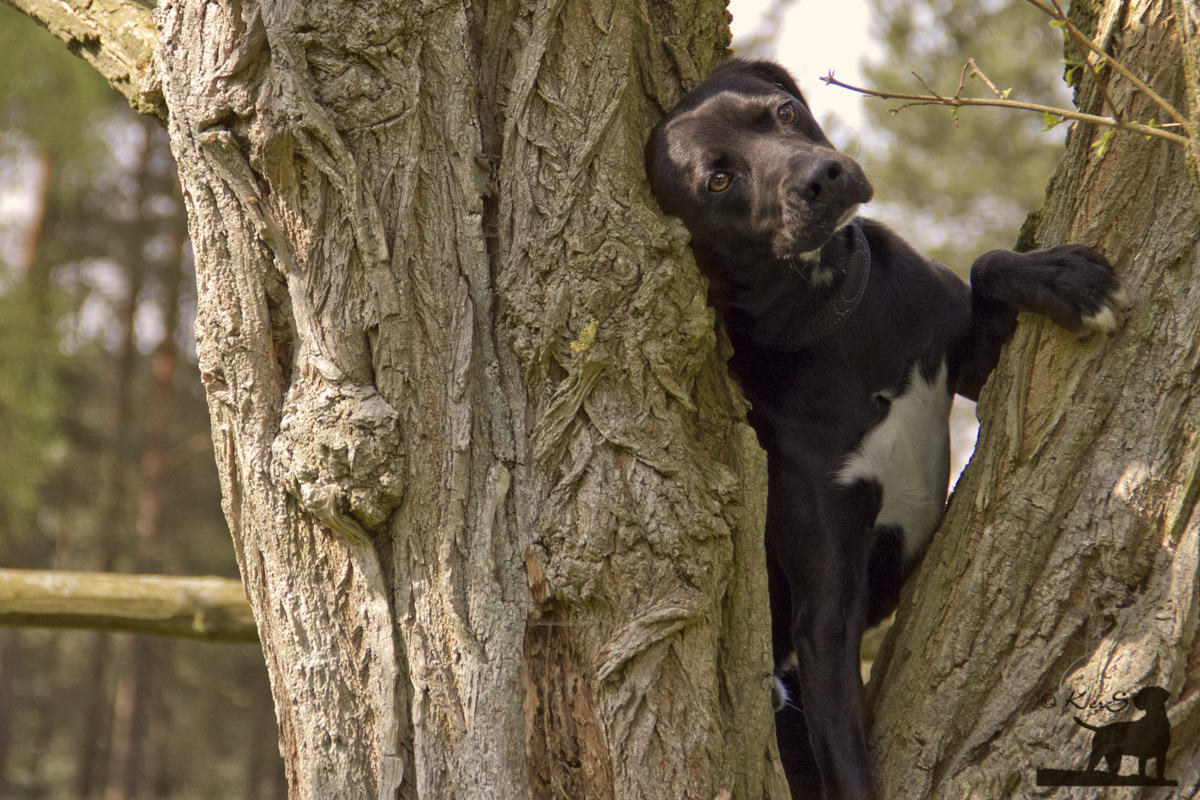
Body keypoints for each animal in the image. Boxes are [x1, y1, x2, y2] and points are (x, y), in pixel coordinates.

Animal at [648, 61, 1123, 800]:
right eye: (718, 181)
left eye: (783, 113)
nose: (820, 178)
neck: (831, 320)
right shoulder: (827, 606)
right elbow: (846, 754)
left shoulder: (963, 354)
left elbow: (987, 265)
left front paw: (1064, 278)